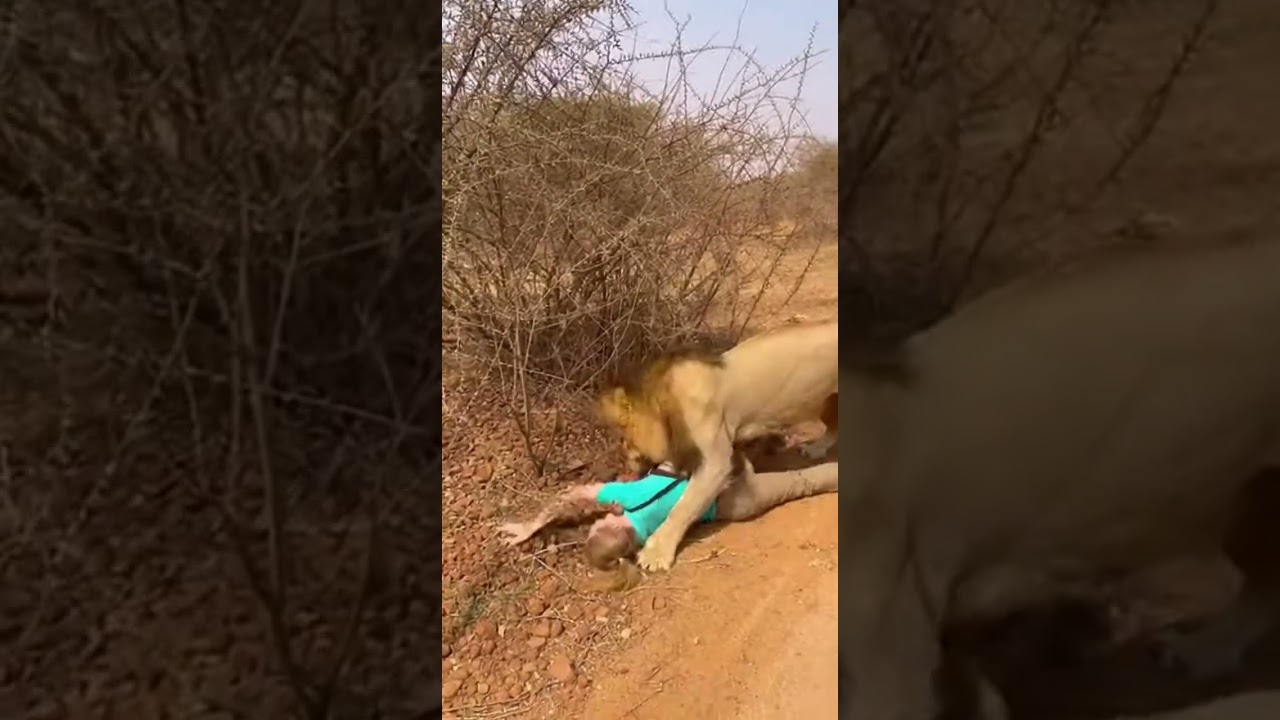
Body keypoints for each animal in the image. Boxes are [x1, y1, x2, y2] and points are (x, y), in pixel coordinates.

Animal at [595, 319, 839, 571]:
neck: (667, 404)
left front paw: (656, 552)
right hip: (829, 400)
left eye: (624, 440)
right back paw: (815, 448)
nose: (625, 466)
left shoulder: (715, 462)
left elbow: (682, 508)